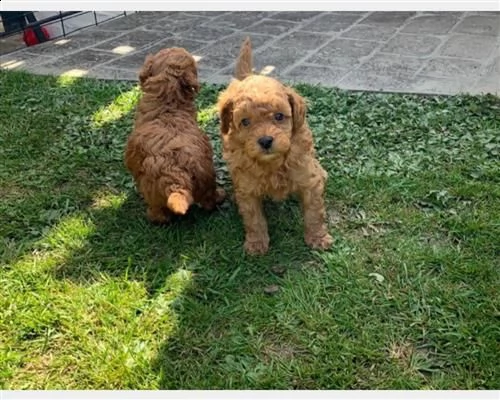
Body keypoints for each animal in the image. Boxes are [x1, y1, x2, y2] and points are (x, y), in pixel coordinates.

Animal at [125, 47, 225, 223]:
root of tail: (176, 176)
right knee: (208, 200)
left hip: (152, 187)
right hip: (206, 175)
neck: (168, 104)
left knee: (159, 211)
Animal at [217, 38, 334, 256]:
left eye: (279, 116)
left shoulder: (308, 179)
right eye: (245, 122)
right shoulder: (247, 188)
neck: (273, 163)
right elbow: (253, 218)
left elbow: (314, 213)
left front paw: (318, 238)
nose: (265, 141)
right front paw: (256, 243)